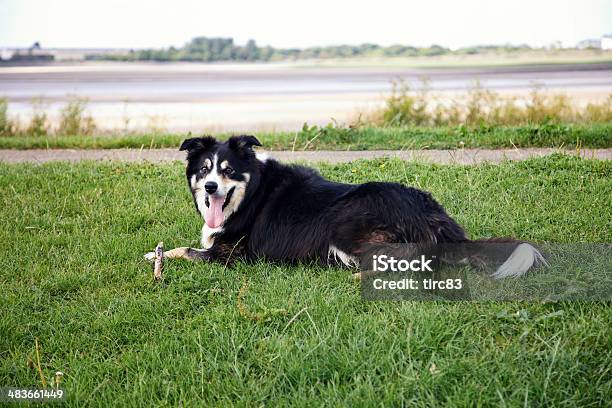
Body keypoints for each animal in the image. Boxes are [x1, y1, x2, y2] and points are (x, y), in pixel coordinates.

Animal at [146, 135, 548, 278]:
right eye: (204, 170)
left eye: (228, 170)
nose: (211, 186)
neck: (251, 193)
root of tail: (432, 214)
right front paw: (155, 254)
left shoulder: (235, 255)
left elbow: (187, 250)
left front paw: (157, 256)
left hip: (344, 220)